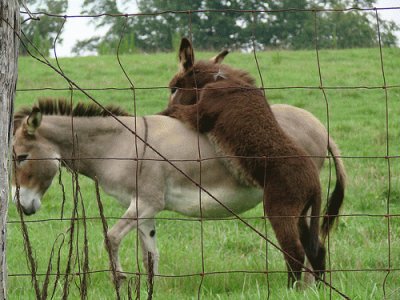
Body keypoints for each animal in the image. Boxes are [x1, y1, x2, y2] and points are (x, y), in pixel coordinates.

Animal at [161, 37, 326, 286]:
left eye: (174, 88)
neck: (219, 80)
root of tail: (315, 183)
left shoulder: (200, 115)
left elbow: (175, 110)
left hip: (280, 208)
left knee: (294, 252)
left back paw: (291, 288)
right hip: (302, 213)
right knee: (316, 250)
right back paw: (318, 287)